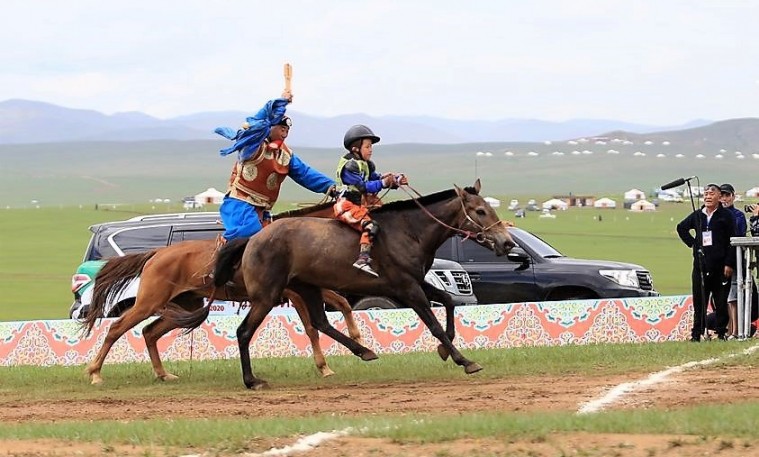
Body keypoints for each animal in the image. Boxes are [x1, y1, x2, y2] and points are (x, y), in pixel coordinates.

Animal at [81, 203, 372, 384]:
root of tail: (156, 254)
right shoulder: (297, 293)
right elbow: (313, 326)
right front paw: (327, 365)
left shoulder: (312, 289)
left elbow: (342, 304)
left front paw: (354, 340)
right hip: (148, 302)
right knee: (116, 328)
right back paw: (95, 373)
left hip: (186, 305)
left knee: (150, 332)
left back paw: (164, 374)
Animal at [163, 180, 512, 386]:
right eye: (480, 211)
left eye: (489, 208)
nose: (507, 243)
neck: (408, 231)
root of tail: (253, 238)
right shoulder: (408, 289)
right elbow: (434, 323)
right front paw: (465, 360)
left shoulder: (416, 283)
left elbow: (449, 304)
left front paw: (444, 350)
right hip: (266, 296)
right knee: (244, 331)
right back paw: (252, 380)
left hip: (306, 288)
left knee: (318, 321)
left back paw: (363, 350)